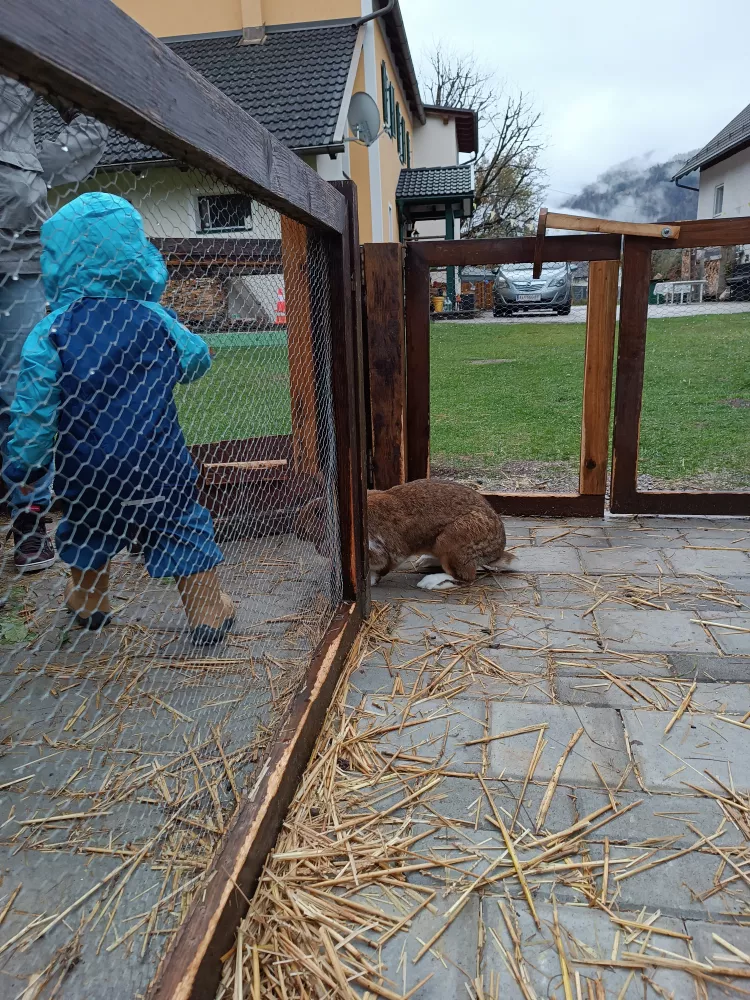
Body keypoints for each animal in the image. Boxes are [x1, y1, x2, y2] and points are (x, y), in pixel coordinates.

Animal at [368, 480, 516, 588]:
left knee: (465, 578)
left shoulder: (389, 551)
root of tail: (496, 552)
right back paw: (424, 561)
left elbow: (382, 567)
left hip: (452, 543)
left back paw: (430, 583)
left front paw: (371, 581)